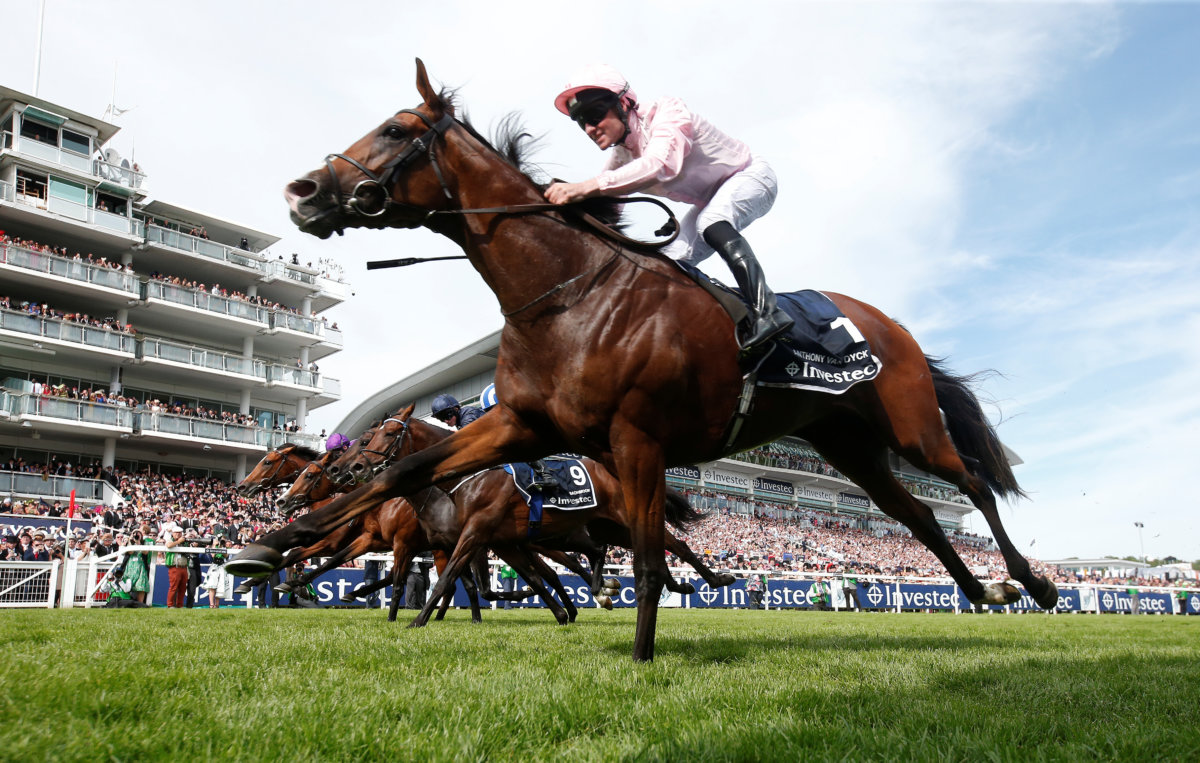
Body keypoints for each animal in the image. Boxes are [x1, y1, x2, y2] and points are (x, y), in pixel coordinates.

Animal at [229, 59, 1056, 657]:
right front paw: (269, 546)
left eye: (397, 128)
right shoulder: (523, 424)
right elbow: (403, 478)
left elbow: (651, 558)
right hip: (846, 444)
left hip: (911, 426)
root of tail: (887, 322)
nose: (304, 189)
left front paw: (642, 656)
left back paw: (1031, 583)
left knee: (970, 484)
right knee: (913, 512)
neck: (565, 295)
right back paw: (982, 592)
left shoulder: (637, 440)